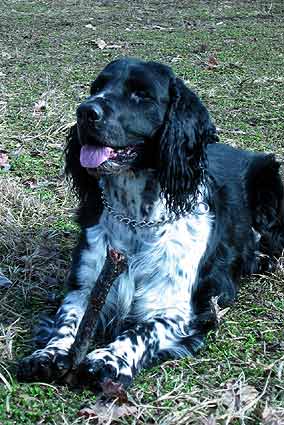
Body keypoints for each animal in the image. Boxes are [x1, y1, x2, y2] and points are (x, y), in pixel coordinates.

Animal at [17, 58, 284, 390]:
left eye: (141, 94)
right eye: (97, 87)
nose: (85, 111)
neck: (136, 218)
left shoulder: (175, 307)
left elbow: (141, 331)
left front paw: (109, 359)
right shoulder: (85, 285)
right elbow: (68, 320)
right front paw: (49, 353)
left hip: (270, 183)